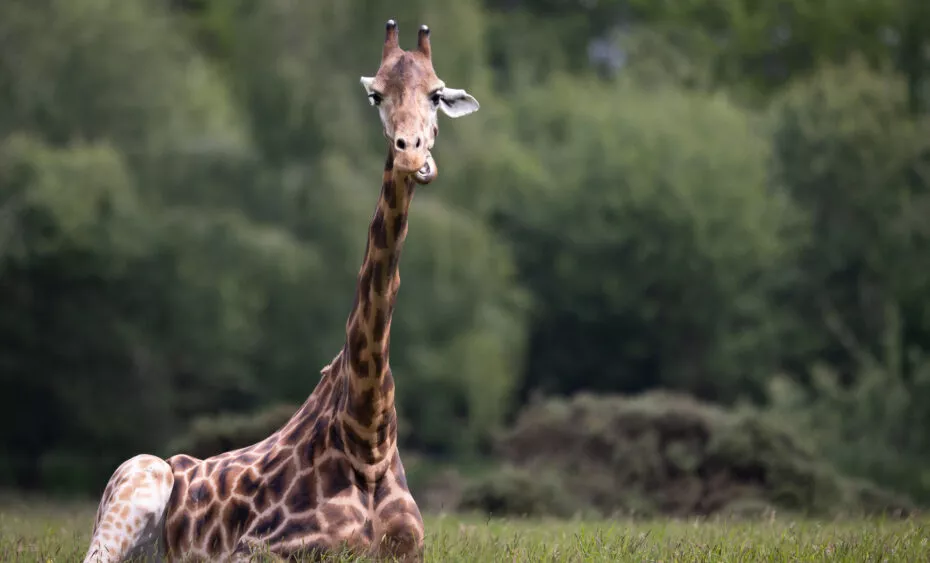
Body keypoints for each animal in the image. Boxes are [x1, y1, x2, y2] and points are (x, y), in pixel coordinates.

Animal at [81, 20, 479, 563]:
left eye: (437, 94)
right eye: (375, 94)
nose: (412, 153)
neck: (366, 437)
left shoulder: (411, 548)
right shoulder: (257, 548)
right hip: (138, 478)